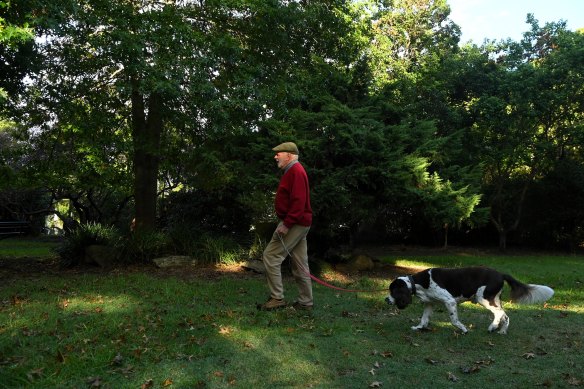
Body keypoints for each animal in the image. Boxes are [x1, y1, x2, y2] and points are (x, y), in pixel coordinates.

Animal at [386, 266, 556, 334]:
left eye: (393, 291)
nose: (386, 300)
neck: (420, 282)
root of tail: (501, 274)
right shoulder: (430, 303)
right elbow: (424, 319)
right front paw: (418, 328)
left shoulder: (449, 301)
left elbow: (454, 320)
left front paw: (463, 329)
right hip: (494, 299)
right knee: (505, 315)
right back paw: (501, 331)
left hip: (484, 298)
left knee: (498, 314)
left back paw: (493, 327)